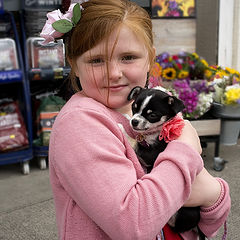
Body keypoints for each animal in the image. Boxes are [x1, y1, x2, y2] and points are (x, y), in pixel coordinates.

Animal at [127, 86, 204, 238]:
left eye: (152, 115)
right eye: (134, 108)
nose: (134, 121)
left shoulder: (150, 154)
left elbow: (135, 142)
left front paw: (121, 128)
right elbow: (137, 139)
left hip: (181, 214)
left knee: (175, 226)